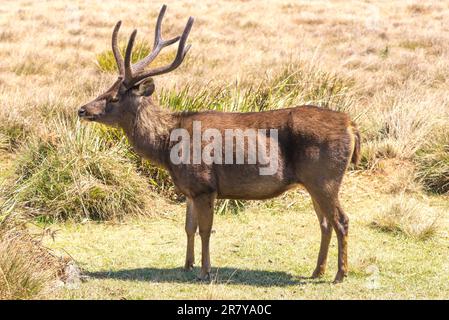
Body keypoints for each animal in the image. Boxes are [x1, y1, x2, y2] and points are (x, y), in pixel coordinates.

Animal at [79, 5, 360, 282]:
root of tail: (350, 124)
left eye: (113, 98)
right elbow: (188, 227)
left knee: (341, 220)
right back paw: (317, 271)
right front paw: (187, 265)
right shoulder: (190, 190)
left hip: (324, 177)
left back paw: (340, 274)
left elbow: (205, 229)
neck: (167, 145)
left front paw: (205, 270)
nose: (82, 109)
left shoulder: (204, 184)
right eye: (106, 89)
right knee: (325, 223)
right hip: (312, 182)